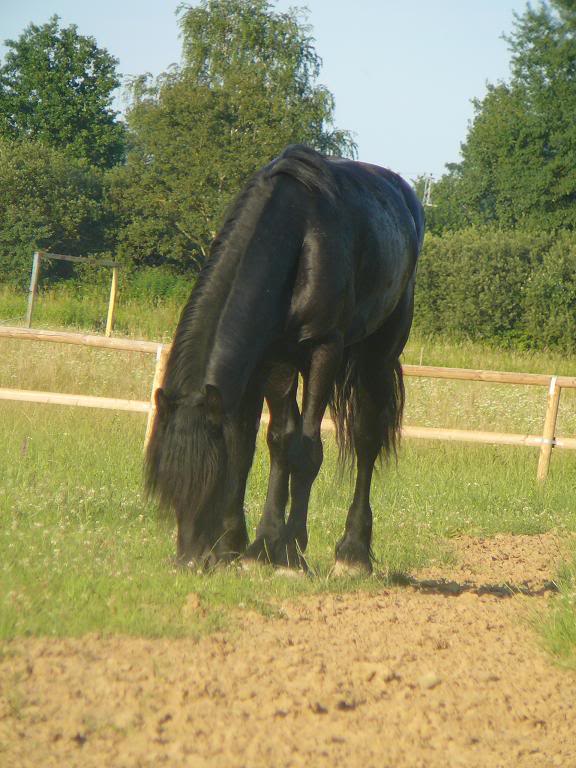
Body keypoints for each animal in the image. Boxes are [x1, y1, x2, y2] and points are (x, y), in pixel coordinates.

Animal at [145, 146, 424, 576]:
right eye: (167, 483)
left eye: (210, 478)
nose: (191, 561)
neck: (298, 239)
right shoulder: (264, 362)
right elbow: (258, 444)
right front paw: (245, 545)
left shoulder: (322, 350)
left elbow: (304, 450)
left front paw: (288, 551)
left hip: (376, 356)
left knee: (366, 440)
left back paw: (353, 552)